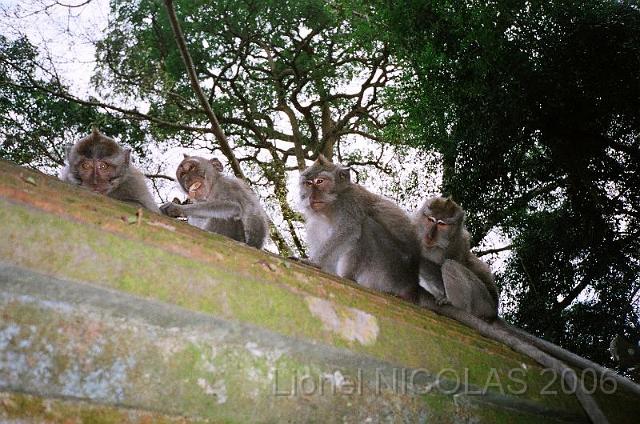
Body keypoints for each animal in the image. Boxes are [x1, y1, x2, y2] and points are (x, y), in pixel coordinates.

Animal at [298, 155, 421, 302]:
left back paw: (349, 277)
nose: (312, 196)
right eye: (308, 183)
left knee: (366, 225)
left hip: (392, 271)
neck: (332, 205)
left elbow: (348, 230)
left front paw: (314, 262)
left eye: (320, 181)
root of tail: (412, 286)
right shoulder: (316, 222)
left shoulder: (349, 202)